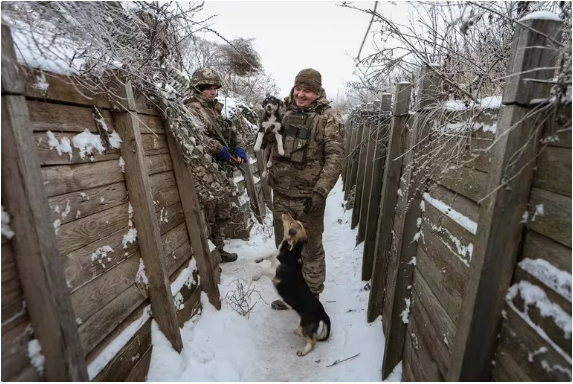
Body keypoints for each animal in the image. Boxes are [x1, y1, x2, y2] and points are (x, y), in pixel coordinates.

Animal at [251, 213, 328, 356]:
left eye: (291, 223)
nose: (285, 213)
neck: (292, 252)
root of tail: (322, 312)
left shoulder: (275, 275)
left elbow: (263, 269)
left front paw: (256, 276)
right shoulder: (273, 257)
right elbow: (268, 254)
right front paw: (258, 258)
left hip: (305, 326)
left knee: (312, 341)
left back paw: (303, 351)